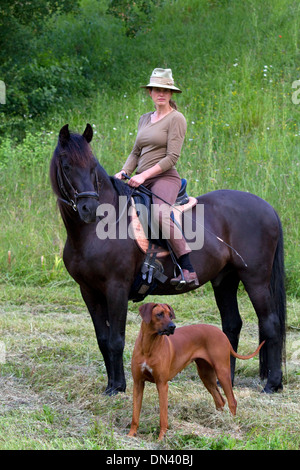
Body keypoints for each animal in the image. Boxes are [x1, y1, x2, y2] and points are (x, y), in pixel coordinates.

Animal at [49, 123, 286, 394]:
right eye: (67, 165)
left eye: (92, 165)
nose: (89, 209)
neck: (99, 229)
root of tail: (267, 207)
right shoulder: (88, 291)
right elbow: (102, 339)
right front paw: (111, 385)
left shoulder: (116, 288)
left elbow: (116, 340)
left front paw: (118, 387)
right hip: (225, 280)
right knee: (232, 325)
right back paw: (224, 380)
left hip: (255, 279)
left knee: (270, 324)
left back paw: (272, 384)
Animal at [127, 302, 264, 438]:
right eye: (159, 314)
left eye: (170, 315)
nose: (173, 326)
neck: (148, 346)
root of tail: (221, 333)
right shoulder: (138, 383)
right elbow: (135, 414)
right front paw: (131, 434)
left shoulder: (162, 384)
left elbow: (163, 416)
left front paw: (162, 437)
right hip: (206, 375)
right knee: (220, 400)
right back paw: (218, 421)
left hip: (222, 372)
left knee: (232, 401)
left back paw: (232, 425)